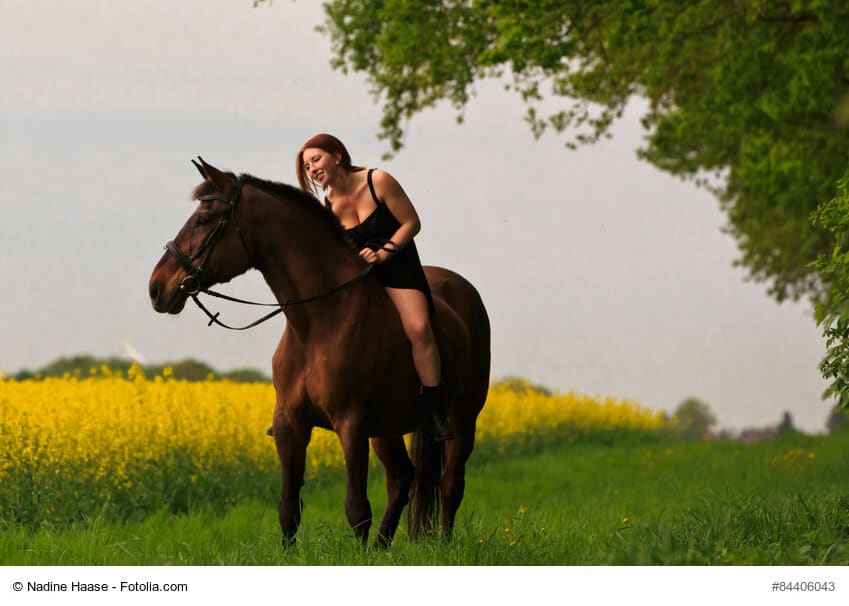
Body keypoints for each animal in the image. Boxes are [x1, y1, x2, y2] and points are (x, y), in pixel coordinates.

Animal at [148, 158, 490, 547]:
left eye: (204, 218)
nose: (156, 288)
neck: (318, 321)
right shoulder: (289, 425)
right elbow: (288, 511)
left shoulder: (352, 424)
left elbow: (357, 510)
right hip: (387, 428)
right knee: (404, 478)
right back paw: (384, 548)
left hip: (462, 417)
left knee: (450, 484)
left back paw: (441, 545)